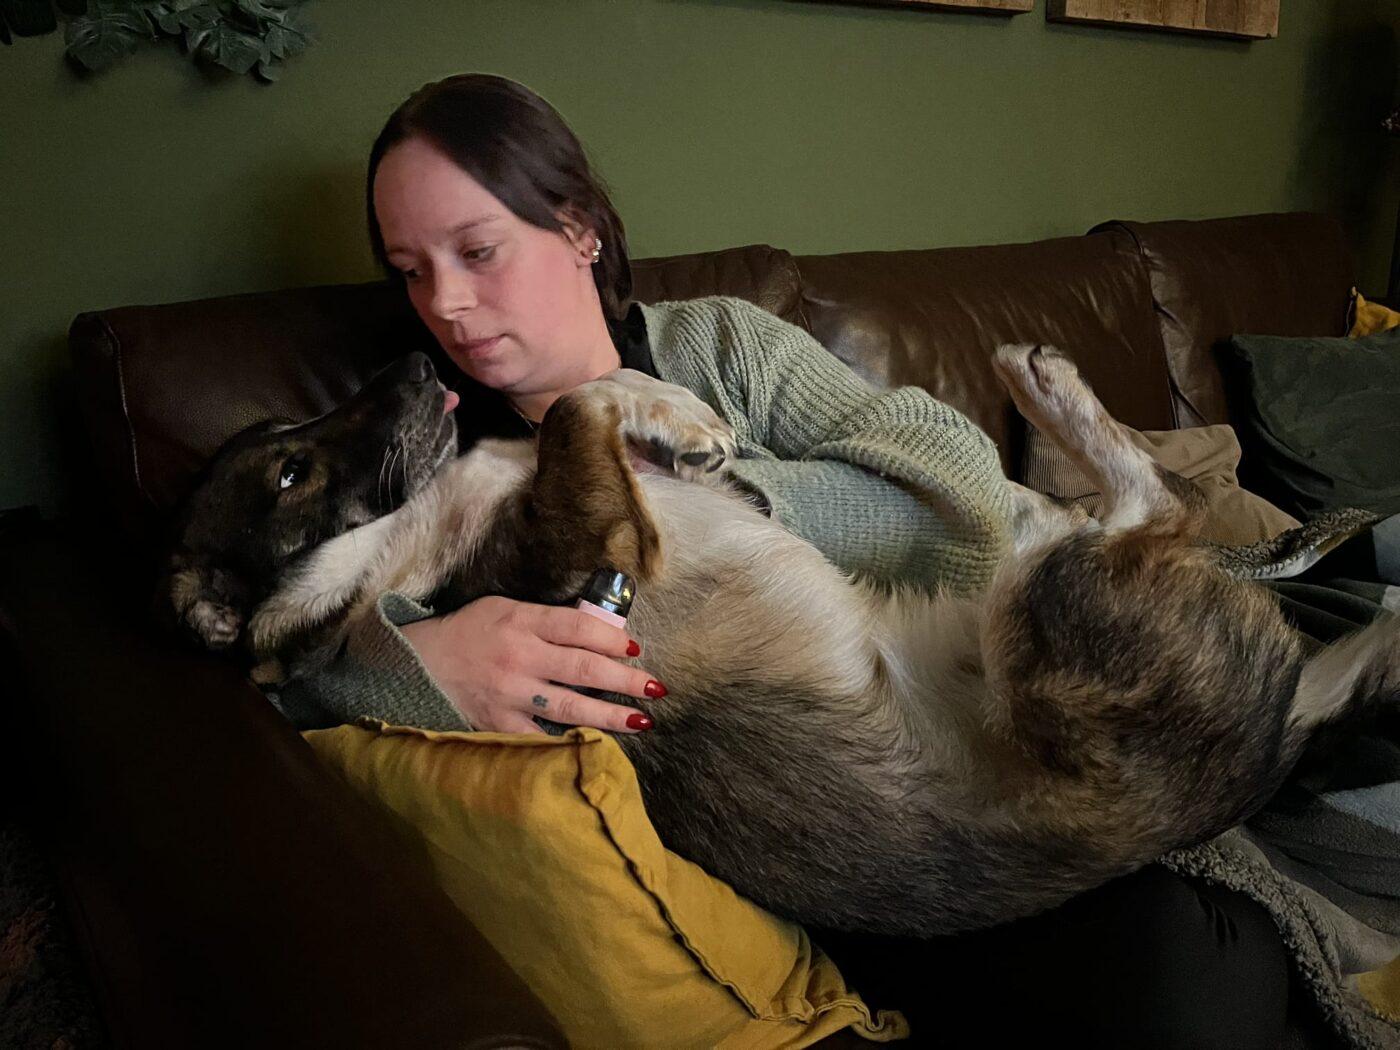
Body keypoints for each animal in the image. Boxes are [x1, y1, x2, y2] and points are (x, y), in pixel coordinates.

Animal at [162, 346, 1400, 937]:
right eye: (288, 471)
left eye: (292, 437)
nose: (423, 367)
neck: (394, 547)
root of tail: (1270, 743)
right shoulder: (604, 544)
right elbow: (565, 408)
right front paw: (660, 414)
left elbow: (589, 393)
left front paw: (675, 413)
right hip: (1051, 605)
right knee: (1152, 506)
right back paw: (1045, 384)